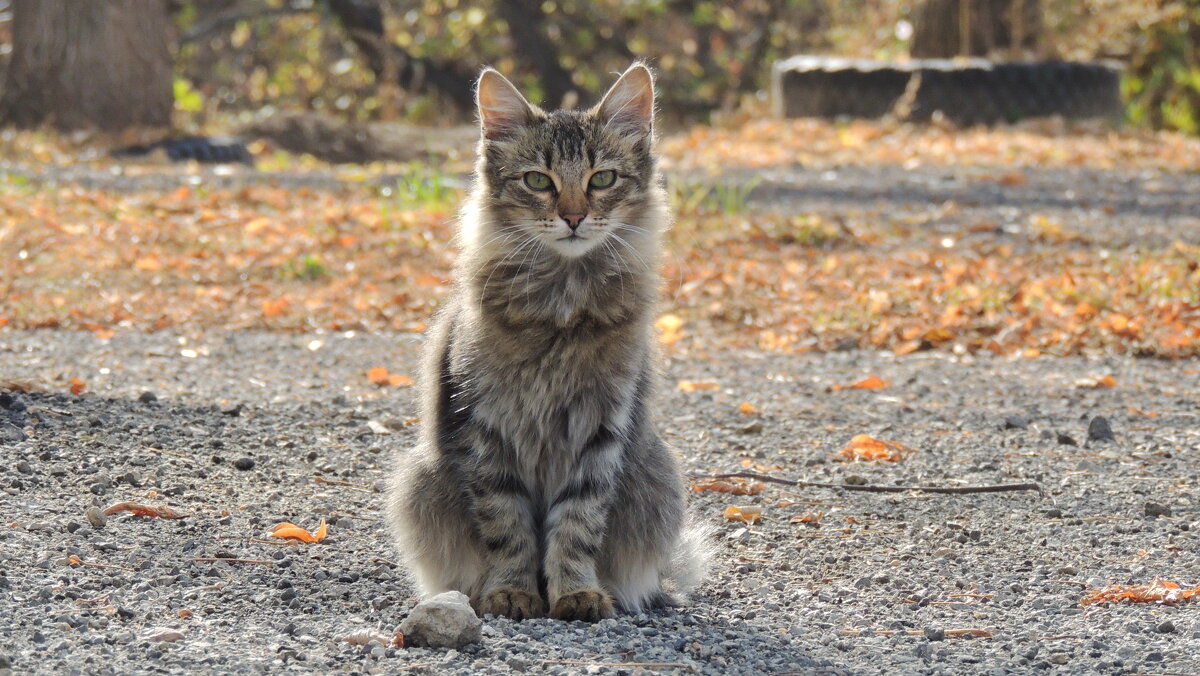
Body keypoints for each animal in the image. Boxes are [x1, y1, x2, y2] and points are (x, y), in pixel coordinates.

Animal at [384, 64, 705, 624]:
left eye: (602, 179)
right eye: (538, 180)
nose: (573, 217)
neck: (563, 302)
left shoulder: (602, 427)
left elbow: (577, 523)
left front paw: (576, 593)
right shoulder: (485, 425)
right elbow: (507, 524)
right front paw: (514, 592)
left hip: (657, 477)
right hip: (419, 481)